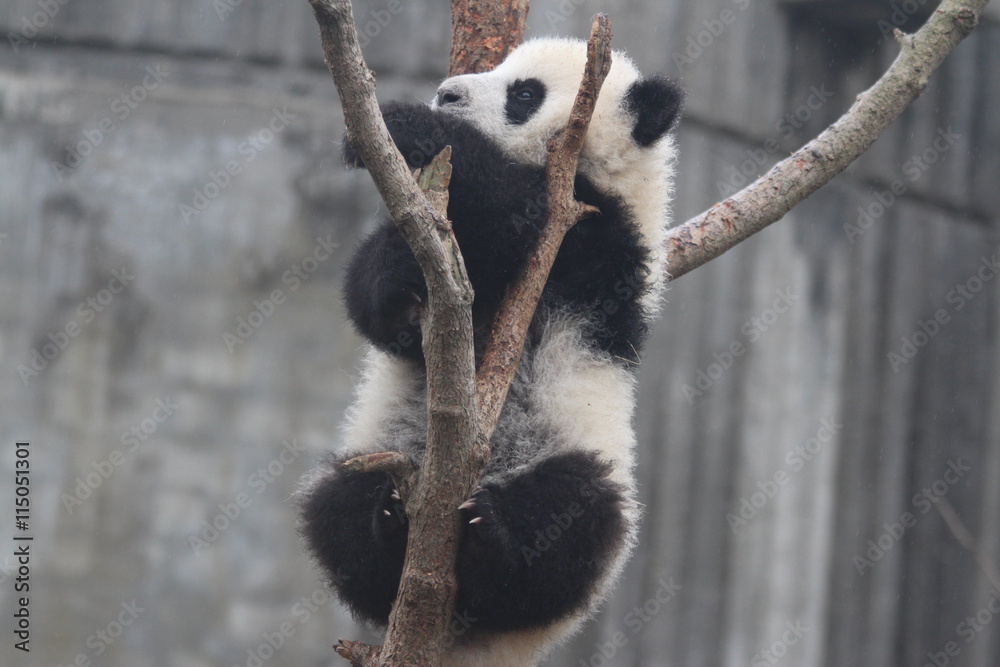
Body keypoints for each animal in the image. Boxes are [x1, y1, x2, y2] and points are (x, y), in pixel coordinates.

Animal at [299, 37, 682, 666]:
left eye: (524, 94)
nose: (447, 94)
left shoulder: (600, 239)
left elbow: (519, 211)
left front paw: (404, 125)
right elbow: (378, 307)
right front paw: (399, 268)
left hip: (575, 460)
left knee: (575, 521)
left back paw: (492, 542)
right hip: (377, 452)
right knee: (336, 513)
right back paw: (387, 526)